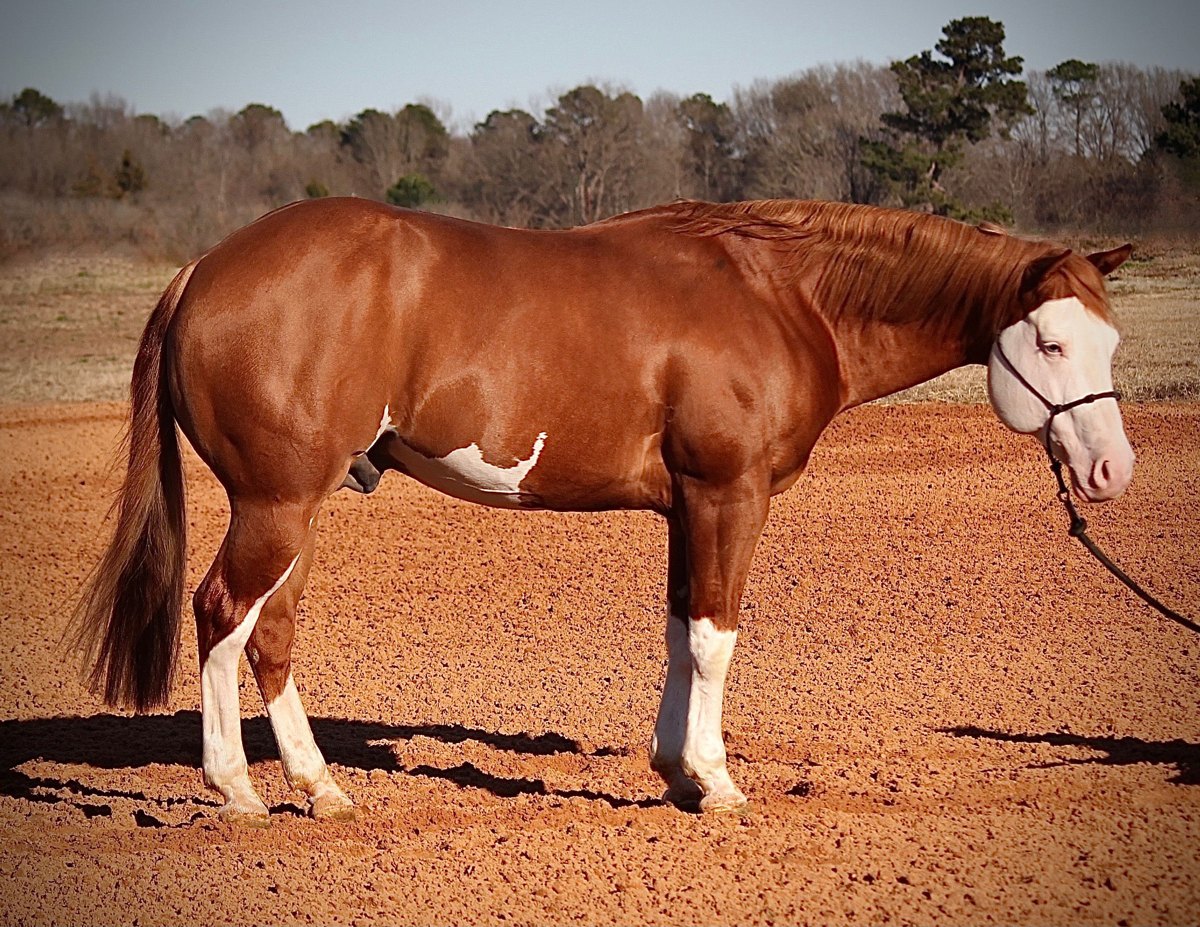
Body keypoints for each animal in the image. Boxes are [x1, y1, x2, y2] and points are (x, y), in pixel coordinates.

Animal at [72, 197, 1134, 824]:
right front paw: (717, 781)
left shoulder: (686, 507)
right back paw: (236, 789)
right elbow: (715, 636)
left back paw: (320, 786)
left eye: (1109, 340)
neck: (779, 296)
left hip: (294, 510)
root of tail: (204, 268)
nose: (1111, 468)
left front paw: (672, 768)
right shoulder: (729, 495)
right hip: (277, 504)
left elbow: (679, 632)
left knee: (269, 634)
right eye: (1048, 341)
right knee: (219, 614)